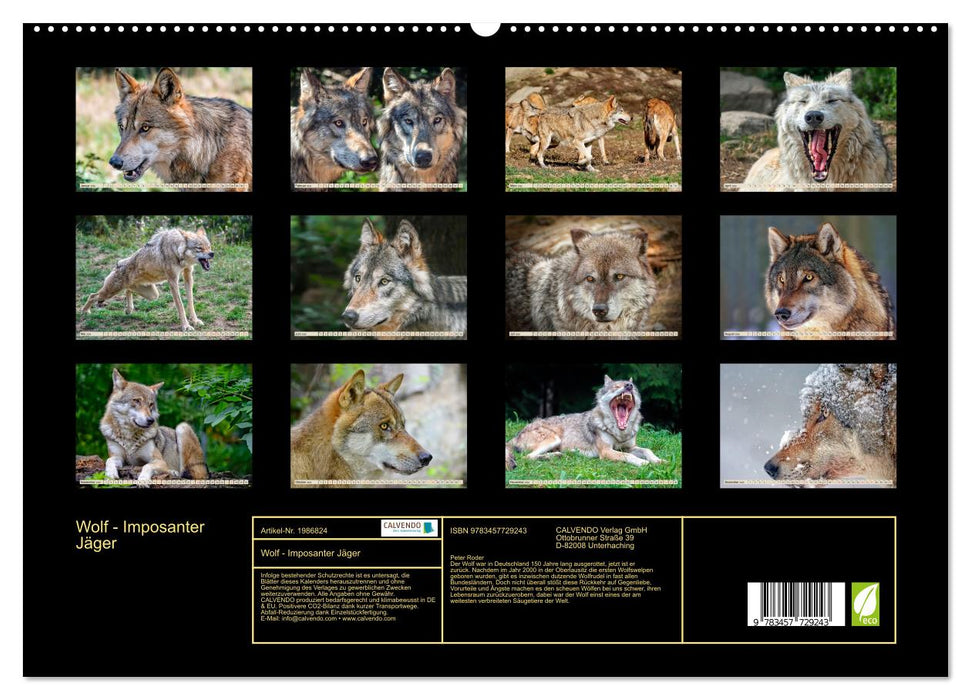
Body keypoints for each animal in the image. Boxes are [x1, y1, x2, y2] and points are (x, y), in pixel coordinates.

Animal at [80, 228, 215, 332]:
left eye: (209, 247)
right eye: (199, 248)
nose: (212, 253)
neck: (176, 250)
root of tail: (118, 264)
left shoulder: (188, 275)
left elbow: (191, 302)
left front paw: (195, 321)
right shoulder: (173, 280)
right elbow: (180, 305)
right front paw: (186, 326)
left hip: (153, 295)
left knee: (128, 290)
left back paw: (129, 309)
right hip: (110, 292)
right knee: (92, 295)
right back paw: (85, 311)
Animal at [505, 375, 664, 471]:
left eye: (633, 387)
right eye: (616, 387)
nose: (628, 385)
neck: (619, 432)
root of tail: (515, 435)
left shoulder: (629, 447)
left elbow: (647, 450)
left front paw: (659, 461)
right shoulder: (606, 451)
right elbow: (629, 457)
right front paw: (643, 463)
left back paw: (557, 455)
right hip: (553, 438)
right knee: (527, 457)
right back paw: (551, 457)